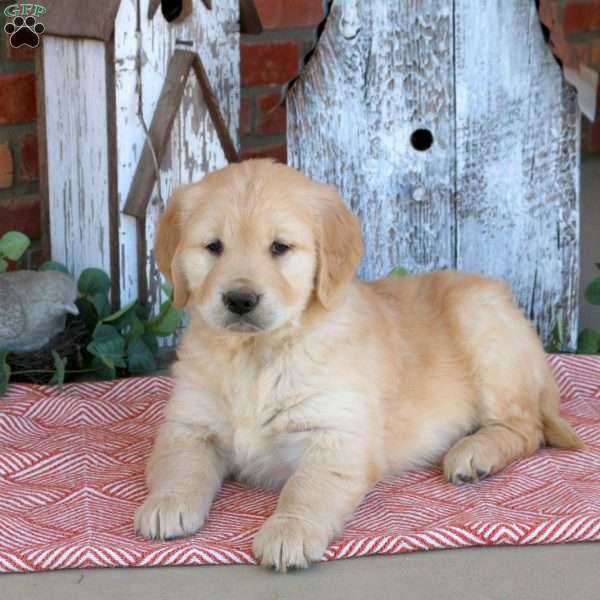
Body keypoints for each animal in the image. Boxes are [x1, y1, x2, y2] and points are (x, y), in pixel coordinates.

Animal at [134, 157, 584, 568]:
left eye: (279, 248)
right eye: (213, 247)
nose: (240, 300)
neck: (257, 354)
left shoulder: (338, 434)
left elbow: (308, 487)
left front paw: (289, 530)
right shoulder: (190, 425)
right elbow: (179, 464)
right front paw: (167, 503)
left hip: (482, 324)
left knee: (526, 428)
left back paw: (474, 455)